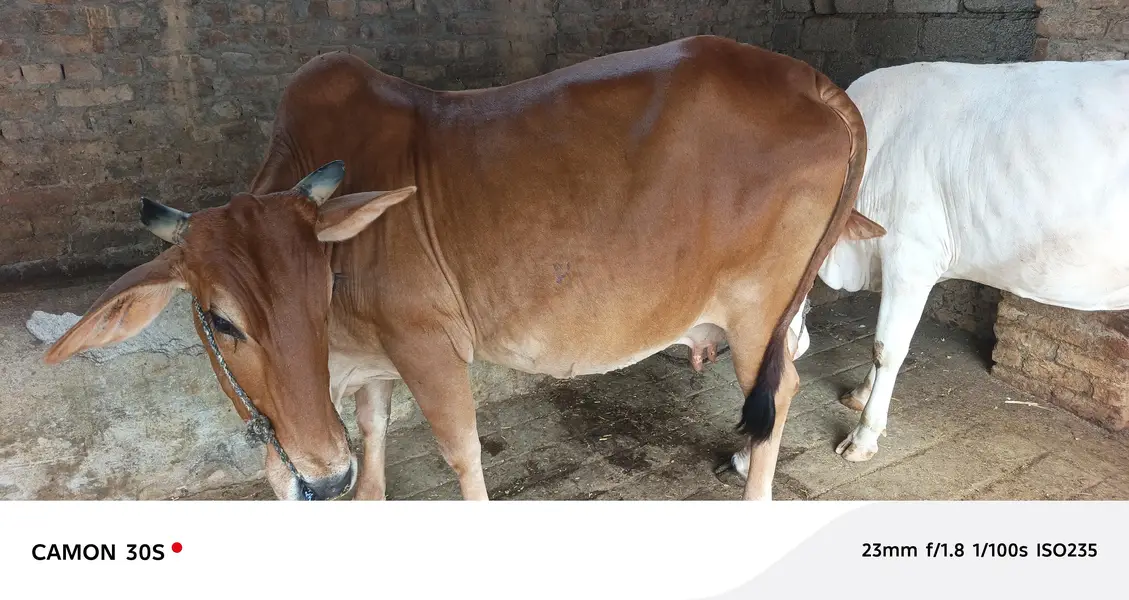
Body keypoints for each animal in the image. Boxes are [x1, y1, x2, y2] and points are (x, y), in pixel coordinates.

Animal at [43, 36, 884, 501]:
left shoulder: (428, 348)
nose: (318, 474)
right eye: (220, 320)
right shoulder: (372, 373)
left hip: (756, 309)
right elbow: (372, 463)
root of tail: (811, 80)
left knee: (779, 396)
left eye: (321, 291)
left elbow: (462, 458)